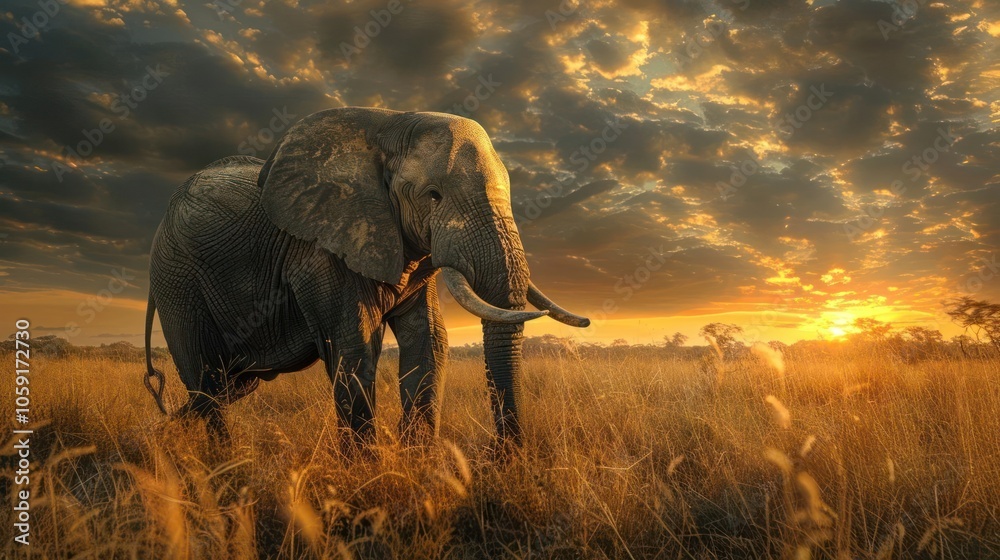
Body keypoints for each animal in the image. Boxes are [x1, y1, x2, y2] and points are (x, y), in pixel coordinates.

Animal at [142, 107, 589, 447]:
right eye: (433, 195)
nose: (501, 457)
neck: (391, 125)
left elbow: (429, 339)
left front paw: (419, 467)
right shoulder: (319, 249)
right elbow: (354, 345)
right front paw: (365, 473)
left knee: (230, 385)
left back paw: (159, 435)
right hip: (176, 279)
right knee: (206, 380)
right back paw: (224, 468)